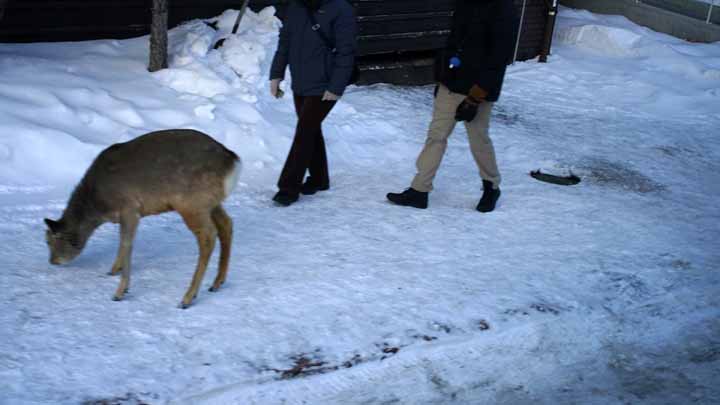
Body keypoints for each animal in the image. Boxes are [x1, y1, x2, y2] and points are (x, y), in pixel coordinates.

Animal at [43, 129, 241, 308]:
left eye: (49, 241)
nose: (52, 261)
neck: (99, 206)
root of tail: (233, 161)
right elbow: (123, 243)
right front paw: (113, 270)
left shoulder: (129, 208)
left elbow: (126, 244)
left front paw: (120, 292)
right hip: (210, 202)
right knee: (226, 224)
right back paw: (217, 283)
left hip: (191, 203)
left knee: (208, 237)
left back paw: (187, 298)